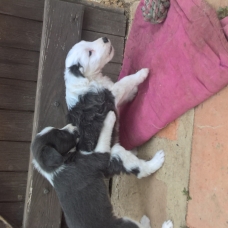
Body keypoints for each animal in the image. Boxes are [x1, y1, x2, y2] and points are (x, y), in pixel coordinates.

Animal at [32, 112, 173, 228]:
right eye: (60, 134)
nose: (75, 126)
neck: (54, 168)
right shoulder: (99, 157)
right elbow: (105, 134)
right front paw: (109, 116)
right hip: (126, 223)